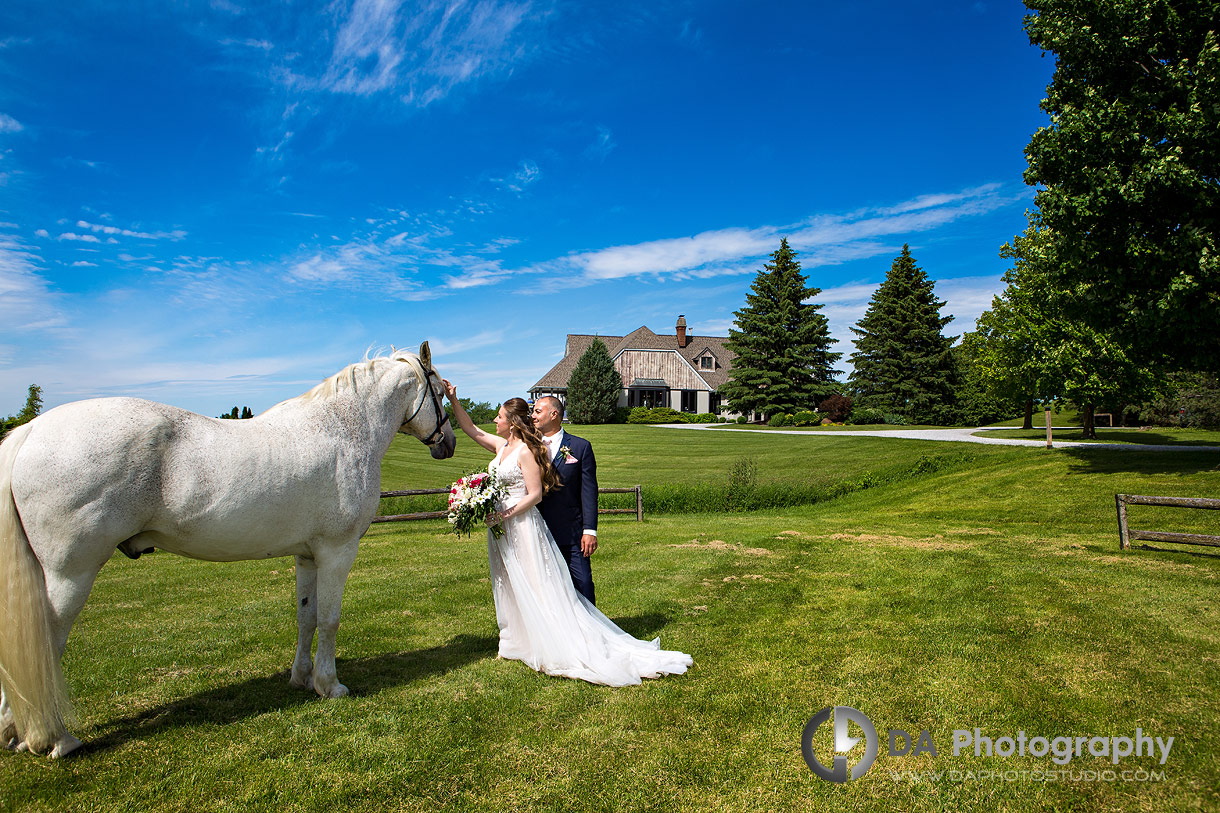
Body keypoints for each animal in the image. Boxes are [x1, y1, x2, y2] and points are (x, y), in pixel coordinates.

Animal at [0, 339, 456, 751]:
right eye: (440, 389)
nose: (448, 443)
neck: (344, 429)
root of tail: (32, 430)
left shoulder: (307, 556)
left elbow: (306, 618)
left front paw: (302, 678)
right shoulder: (336, 552)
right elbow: (329, 619)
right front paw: (330, 685)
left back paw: (15, 733)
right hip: (69, 575)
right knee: (44, 647)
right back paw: (57, 739)